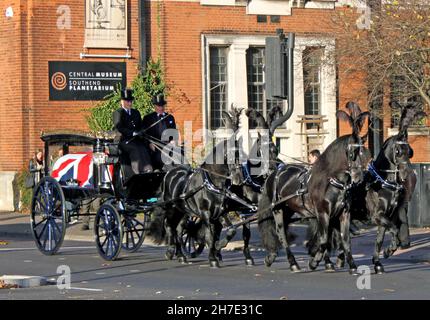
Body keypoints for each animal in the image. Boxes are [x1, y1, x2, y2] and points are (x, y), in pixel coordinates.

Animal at [256, 102, 368, 272]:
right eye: (351, 152)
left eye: (363, 151)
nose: (359, 177)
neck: (333, 183)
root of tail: (275, 171)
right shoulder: (323, 214)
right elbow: (323, 240)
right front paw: (315, 261)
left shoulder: (343, 214)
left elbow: (344, 240)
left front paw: (350, 264)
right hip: (277, 210)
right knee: (281, 235)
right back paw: (292, 262)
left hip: (288, 210)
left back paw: (273, 256)